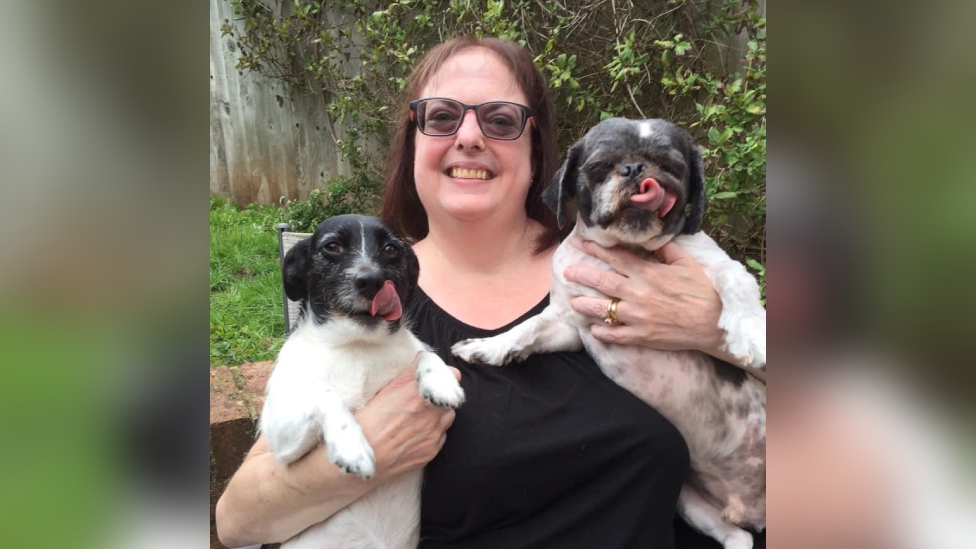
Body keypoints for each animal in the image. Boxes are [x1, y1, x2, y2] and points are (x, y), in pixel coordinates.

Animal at [260, 214, 466, 548]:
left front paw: (441, 381)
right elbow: (326, 395)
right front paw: (352, 447)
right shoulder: (281, 439)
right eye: (332, 246)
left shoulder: (412, 349)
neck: (358, 347)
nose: (371, 281)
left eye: (391, 249)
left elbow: (423, 352)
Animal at [454, 119, 768, 548]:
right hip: (693, 505)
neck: (626, 251)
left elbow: (737, 280)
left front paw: (751, 333)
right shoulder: (571, 323)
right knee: (739, 538)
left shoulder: (712, 263)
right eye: (601, 166)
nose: (637, 170)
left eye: (672, 166)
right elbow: (530, 327)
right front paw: (490, 346)